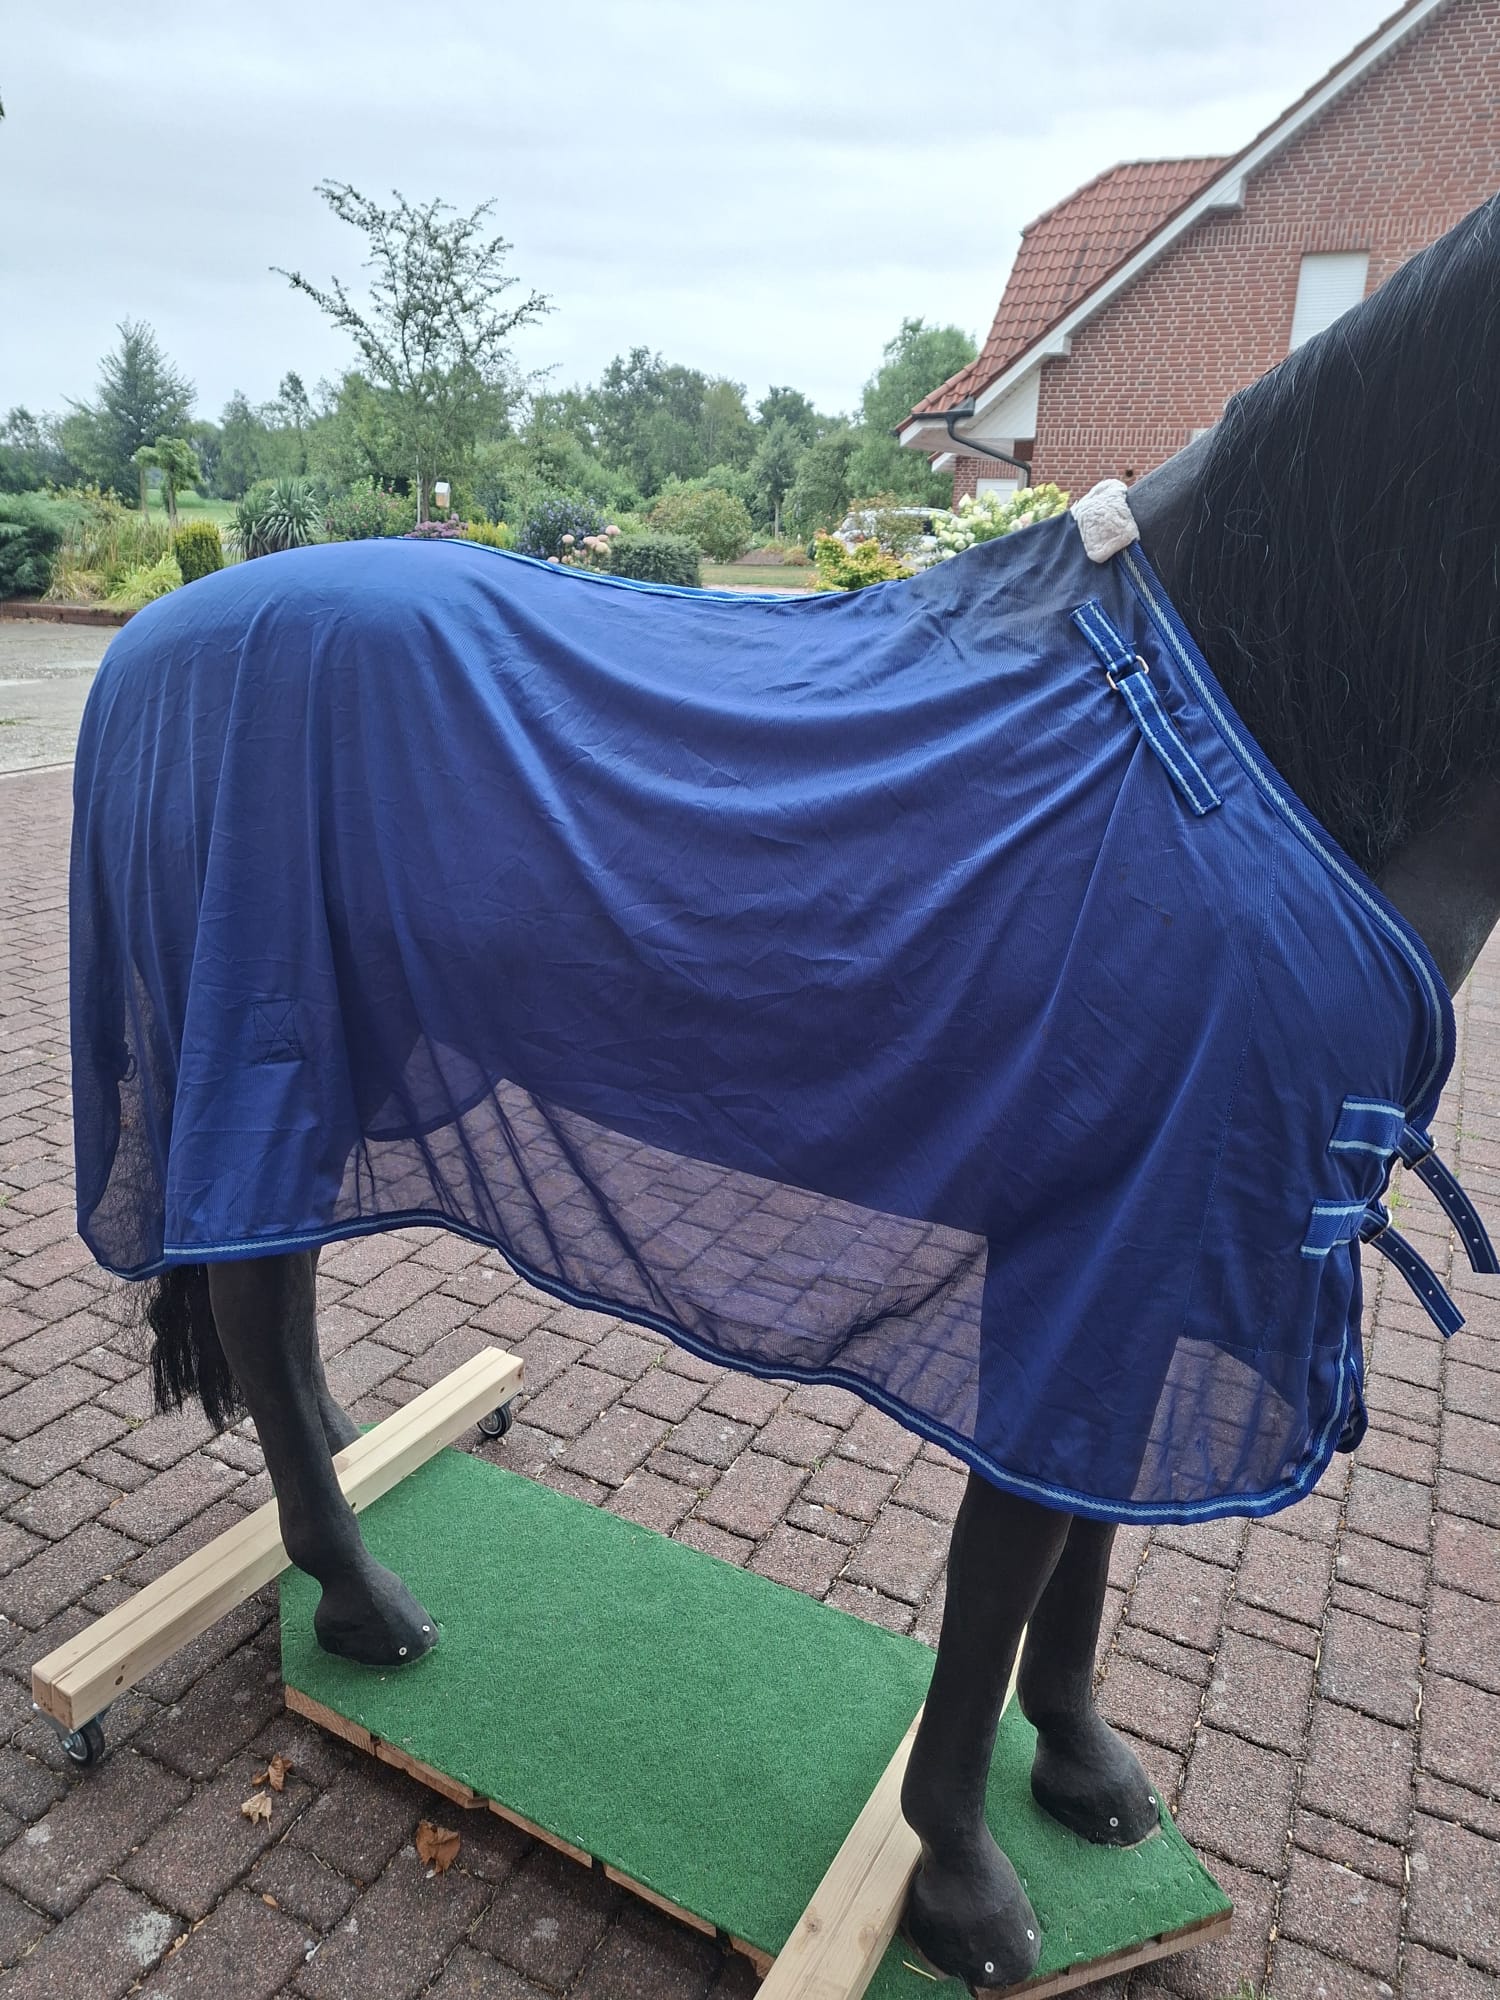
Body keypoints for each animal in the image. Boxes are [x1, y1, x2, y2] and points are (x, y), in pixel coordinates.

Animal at [67, 192, 1500, 1995]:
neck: (1241, 735)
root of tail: (160, 635)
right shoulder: (1100, 1242)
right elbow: (1006, 1561)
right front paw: (961, 1875)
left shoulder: (1167, 1243)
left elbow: (1086, 1530)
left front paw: (1083, 1767)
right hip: (265, 1050)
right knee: (257, 1294)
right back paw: (360, 1597)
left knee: (277, 1279)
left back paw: (339, 1464)